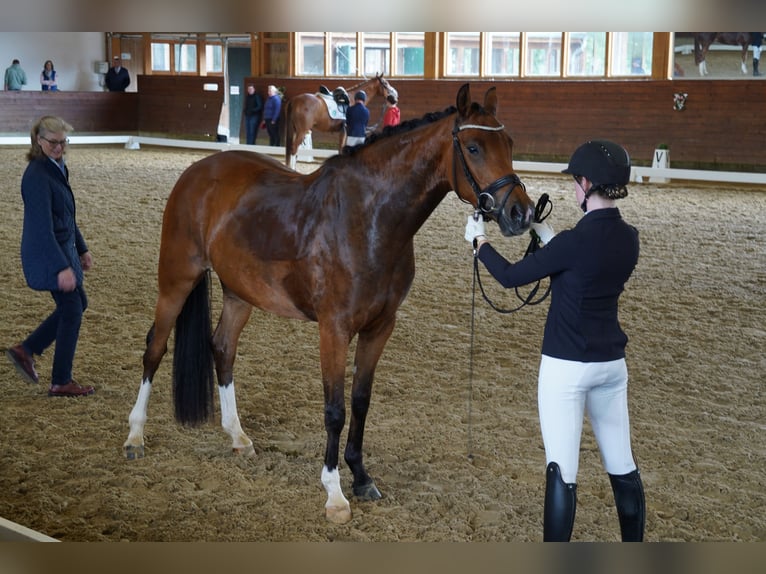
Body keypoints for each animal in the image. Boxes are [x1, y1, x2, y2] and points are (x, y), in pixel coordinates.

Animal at [123, 83, 535, 524]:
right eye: (473, 147)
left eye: (509, 144)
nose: (521, 213)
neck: (370, 219)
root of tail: (198, 171)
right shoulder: (334, 329)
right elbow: (335, 409)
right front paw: (335, 493)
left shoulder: (380, 327)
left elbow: (360, 401)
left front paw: (361, 476)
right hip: (176, 280)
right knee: (154, 348)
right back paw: (135, 435)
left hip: (239, 293)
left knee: (223, 348)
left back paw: (238, 436)